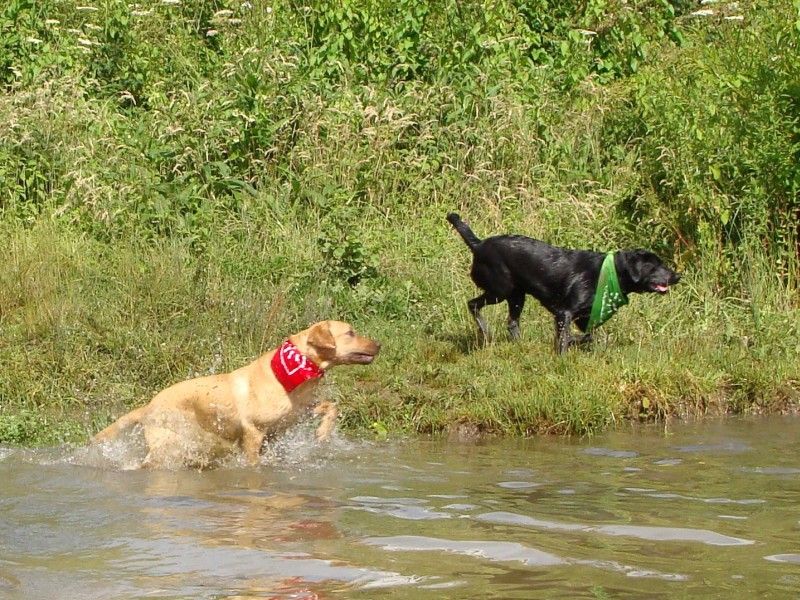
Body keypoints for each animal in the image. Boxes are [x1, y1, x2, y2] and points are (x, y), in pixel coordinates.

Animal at [446, 213, 680, 352]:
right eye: (656, 266)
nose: (678, 276)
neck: (611, 272)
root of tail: (478, 244)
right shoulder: (564, 313)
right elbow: (565, 340)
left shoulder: (584, 318)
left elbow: (586, 336)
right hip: (500, 289)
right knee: (473, 304)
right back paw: (486, 332)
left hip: (517, 295)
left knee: (512, 323)